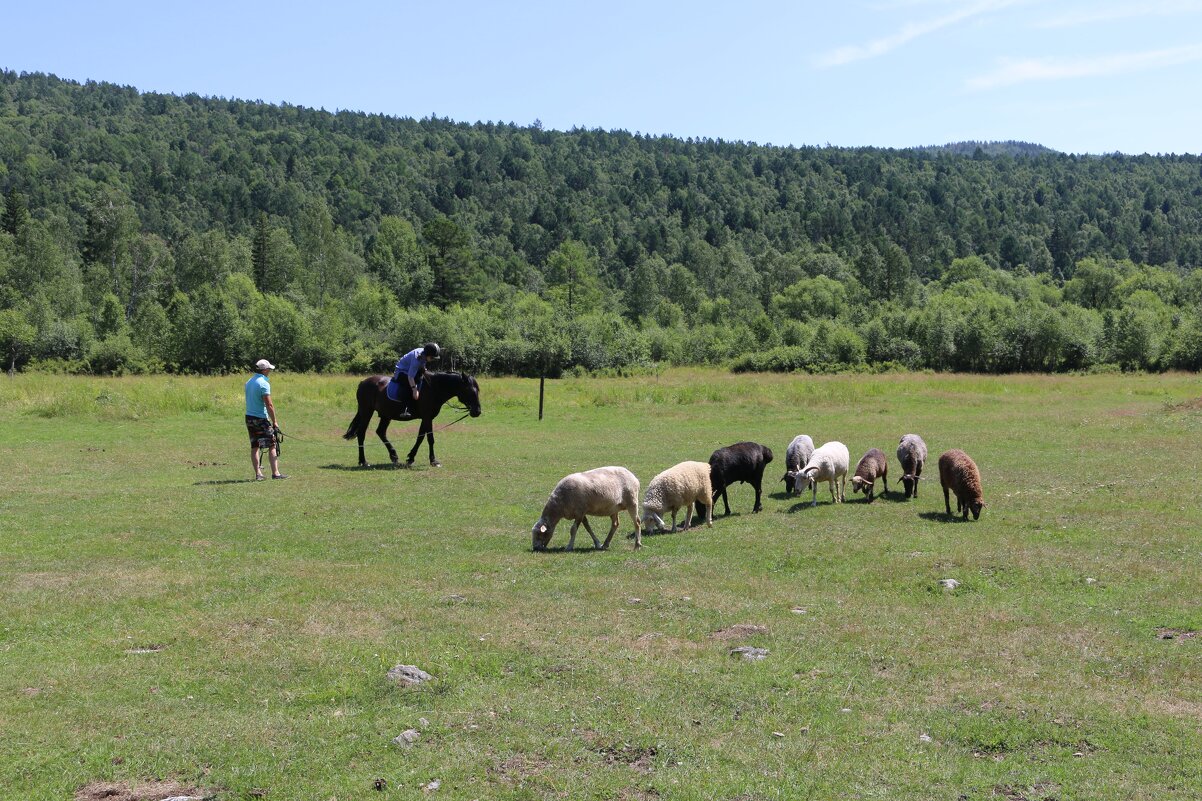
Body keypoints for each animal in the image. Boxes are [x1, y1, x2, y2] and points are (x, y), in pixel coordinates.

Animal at [341, 370, 480, 464]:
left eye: (478, 391)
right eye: (470, 391)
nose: (477, 411)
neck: (434, 389)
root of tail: (363, 382)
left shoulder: (426, 418)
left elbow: (420, 437)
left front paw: (411, 457)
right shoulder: (427, 417)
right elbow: (430, 438)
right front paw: (433, 460)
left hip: (386, 415)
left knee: (380, 432)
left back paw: (393, 455)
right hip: (366, 412)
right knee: (362, 434)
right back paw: (363, 461)